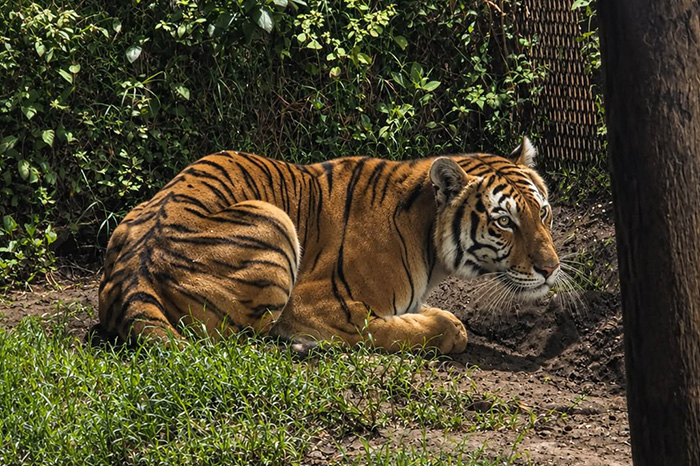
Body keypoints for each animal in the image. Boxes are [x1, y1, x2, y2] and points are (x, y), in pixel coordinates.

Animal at [98, 137, 559, 354]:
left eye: (543, 212)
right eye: (504, 222)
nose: (551, 269)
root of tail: (135, 275)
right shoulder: (320, 304)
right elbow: (428, 328)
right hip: (274, 222)